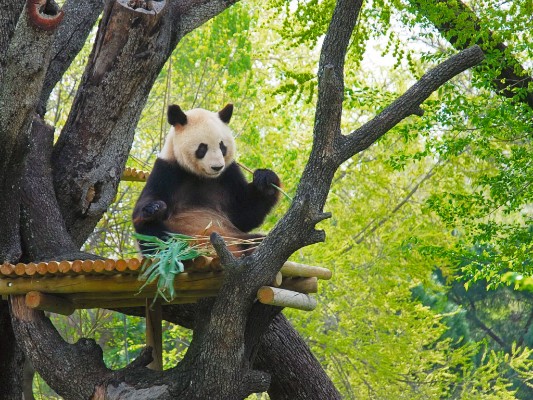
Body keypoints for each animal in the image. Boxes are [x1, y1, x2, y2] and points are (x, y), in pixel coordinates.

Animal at [132, 104, 280, 256]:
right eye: (202, 148)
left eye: (222, 146)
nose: (217, 167)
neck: (201, 176)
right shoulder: (166, 171)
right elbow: (146, 204)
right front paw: (154, 208)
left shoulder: (228, 175)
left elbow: (245, 210)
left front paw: (265, 179)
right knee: (154, 234)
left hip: (235, 236)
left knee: (256, 239)